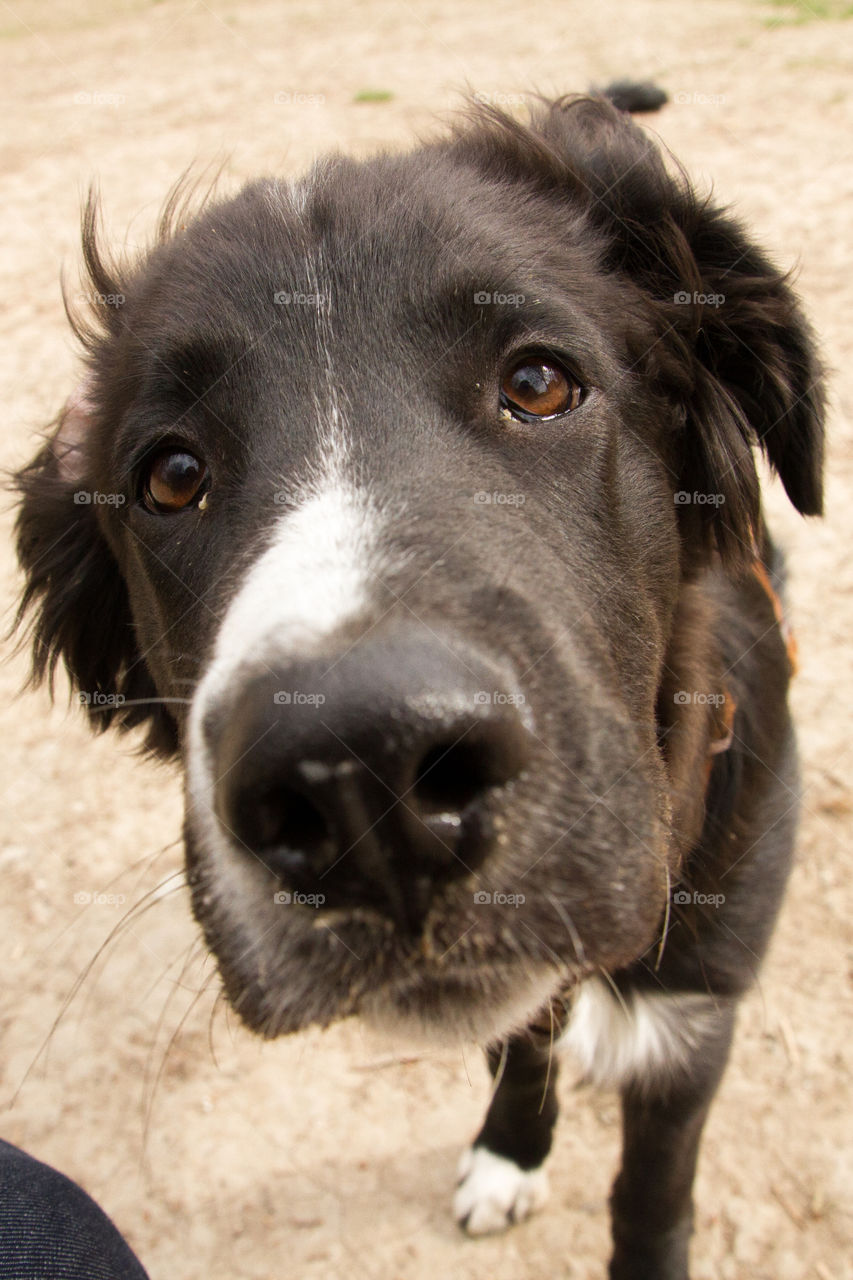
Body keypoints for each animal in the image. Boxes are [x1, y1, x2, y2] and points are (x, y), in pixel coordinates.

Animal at [14, 85, 824, 1274]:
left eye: (537, 381)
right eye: (169, 476)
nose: (364, 777)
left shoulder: (695, 1010)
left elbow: (651, 1193)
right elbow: (520, 1050)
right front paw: (509, 1152)